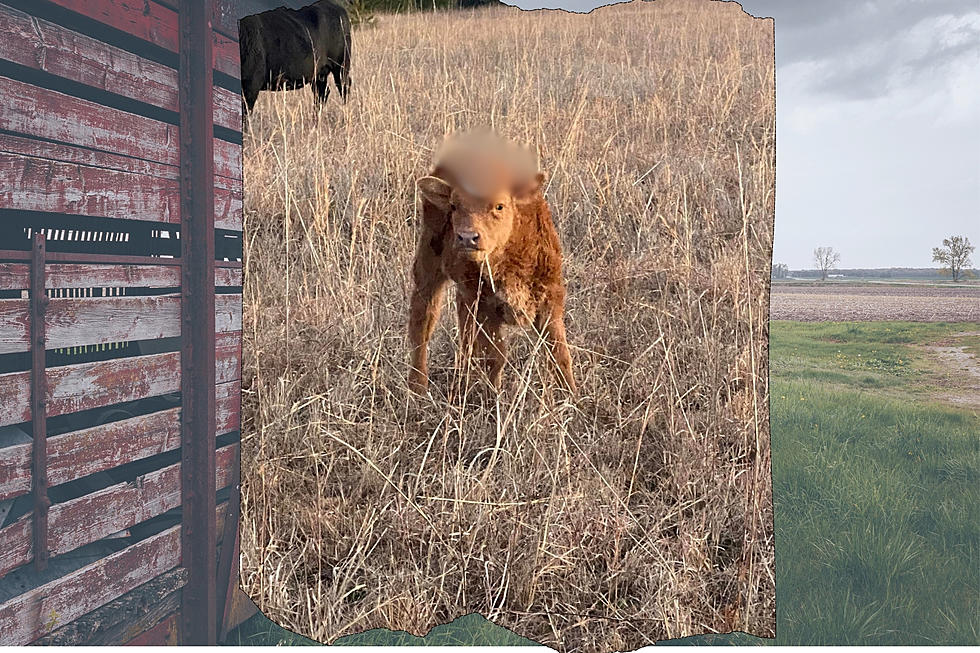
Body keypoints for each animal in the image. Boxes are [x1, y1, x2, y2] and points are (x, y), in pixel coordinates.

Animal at [406, 132, 576, 394]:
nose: (467, 237)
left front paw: (573, 397)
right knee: (422, 318)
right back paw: (418, 387)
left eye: (499, 205)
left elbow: (559, 354)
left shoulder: (550, 297)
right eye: (454, 206)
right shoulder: (484, 307)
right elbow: (495, 357)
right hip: (429, 262)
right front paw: (492, 397)